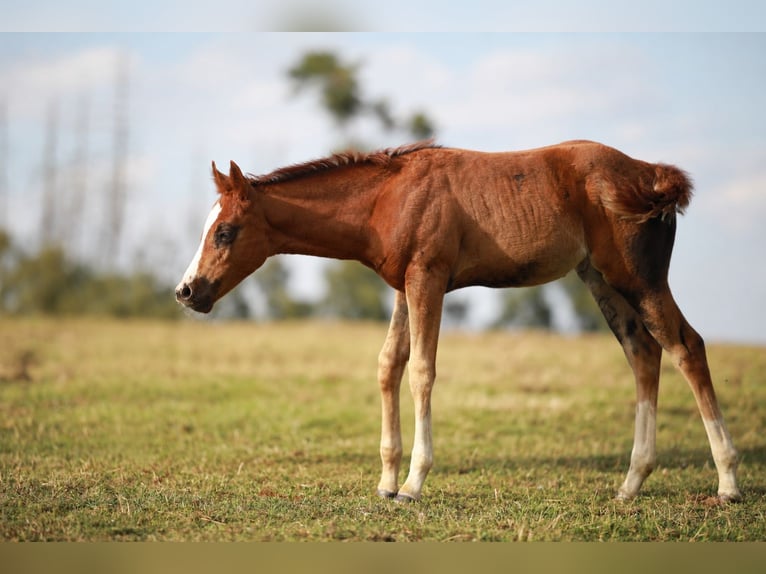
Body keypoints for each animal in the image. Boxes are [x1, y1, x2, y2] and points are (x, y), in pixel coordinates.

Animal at [175, 139, 741, 503]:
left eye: (225, 231)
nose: (187, 292)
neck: (387, 198)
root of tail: (650, 174)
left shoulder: (428, 277)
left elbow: (421, 371)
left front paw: (412, 484)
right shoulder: (404, 285)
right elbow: (389, 365)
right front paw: (385, 481)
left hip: (639, 278)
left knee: (687, 346)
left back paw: (728, 483)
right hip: (600, 279)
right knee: (644, 353)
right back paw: (631, 484)